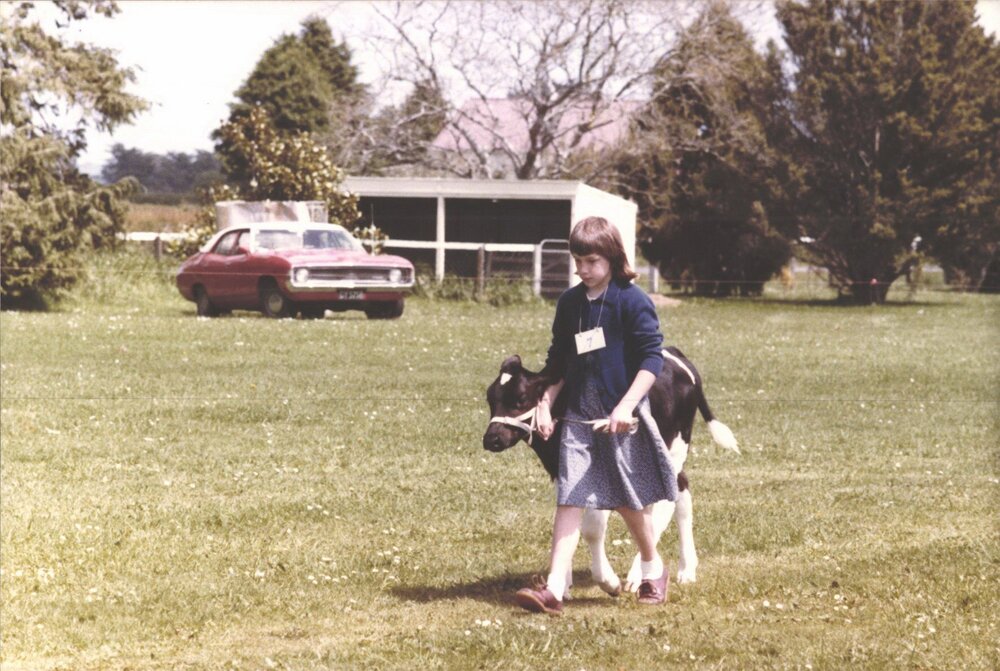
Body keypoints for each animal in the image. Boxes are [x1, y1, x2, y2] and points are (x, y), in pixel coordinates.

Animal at [483, 347, 738, 597]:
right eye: (490, 399)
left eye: (521, 398)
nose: (491, 439)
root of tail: (676, 355)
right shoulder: (561, 473)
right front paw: (561, 585)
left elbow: (592, 528)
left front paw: (608, 581)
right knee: (677, 496)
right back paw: (685, 568)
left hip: (674, 448)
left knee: (668, 503)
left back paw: (643, 574)